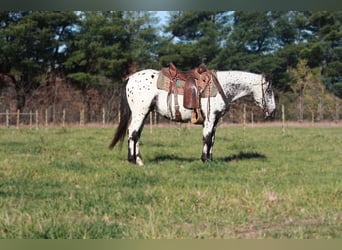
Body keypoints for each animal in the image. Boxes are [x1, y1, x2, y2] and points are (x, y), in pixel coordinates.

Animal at [109, 69, 276, 166]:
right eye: (269, 91)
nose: (273, 111)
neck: (221, 86)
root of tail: (130, 78)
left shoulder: (215, 120)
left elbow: (212, 139)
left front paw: (210, 159)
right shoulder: (210, 118)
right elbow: (207, 138)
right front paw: (205, 160)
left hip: (144, 114)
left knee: (136, 134)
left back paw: (138, 159)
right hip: (140, 112)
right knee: (133, 134)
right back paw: (133, 160)